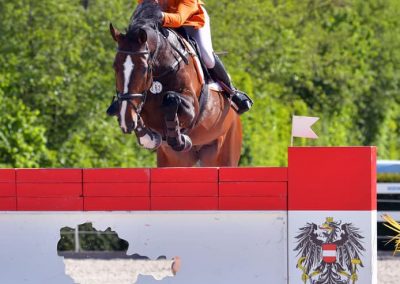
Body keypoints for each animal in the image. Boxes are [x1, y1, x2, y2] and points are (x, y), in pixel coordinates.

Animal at [106, 0, 242, 168]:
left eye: (144, 69)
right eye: (115, 66)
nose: (126, 121)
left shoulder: (192, 108)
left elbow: (171, 99)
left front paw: (179, 139)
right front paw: (148, 137)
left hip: (224, 153)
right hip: (175, 160)